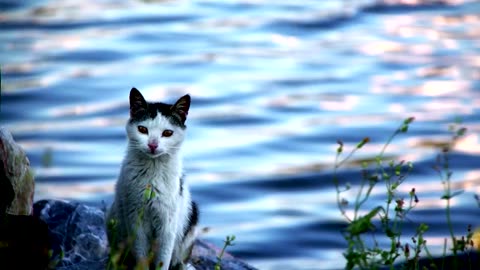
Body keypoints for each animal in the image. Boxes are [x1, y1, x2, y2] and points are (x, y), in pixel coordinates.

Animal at [107, 88, 199, 270]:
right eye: (142, 129)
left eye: (168, 133)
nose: (153, 145)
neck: (152, 172)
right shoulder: (136, 220)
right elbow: (141, 256)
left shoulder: (167, 225)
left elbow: (163, 259)